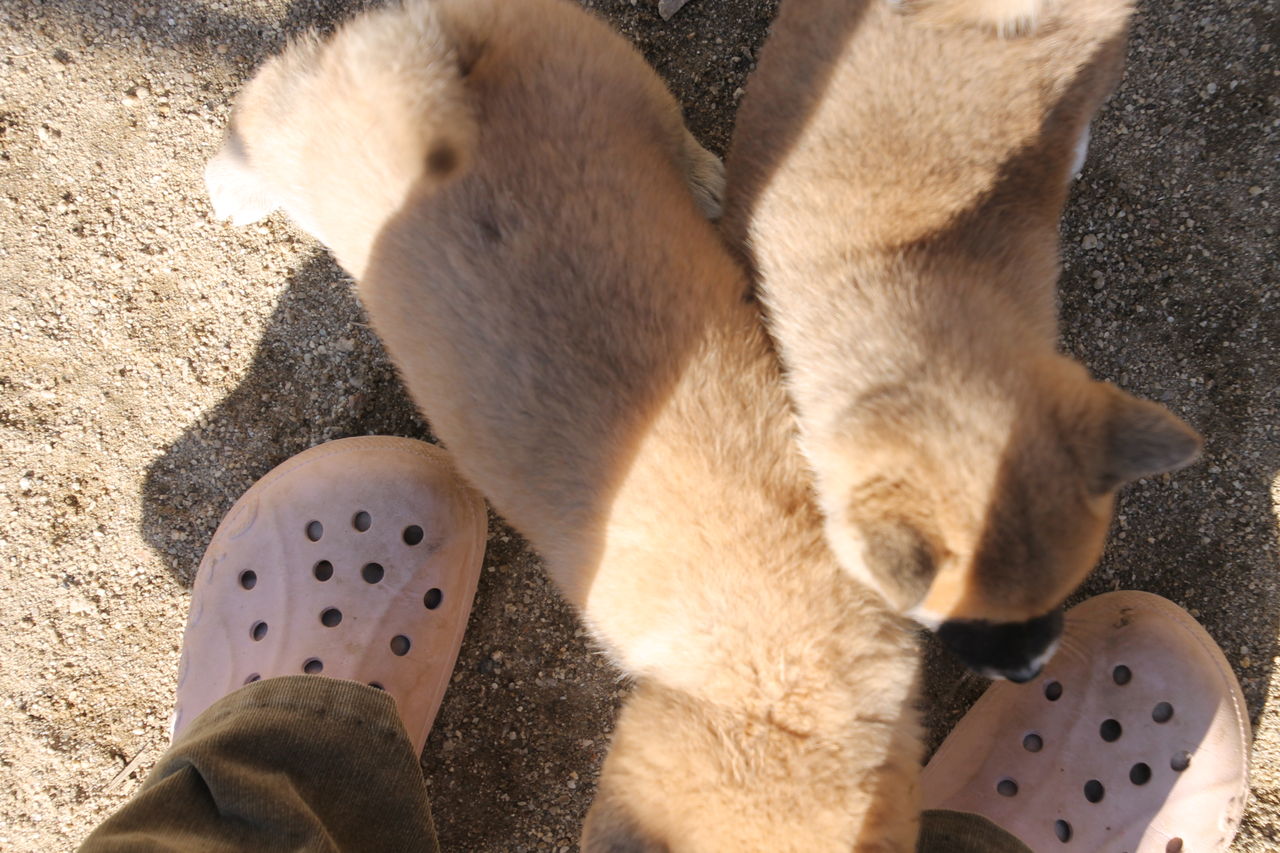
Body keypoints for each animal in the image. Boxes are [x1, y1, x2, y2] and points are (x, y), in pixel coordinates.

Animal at [206, 0, 922, 849]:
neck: (775, 641)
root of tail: (435, 77)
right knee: (276, 100)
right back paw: (233, 184)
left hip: (599, 67)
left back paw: (702, 178)